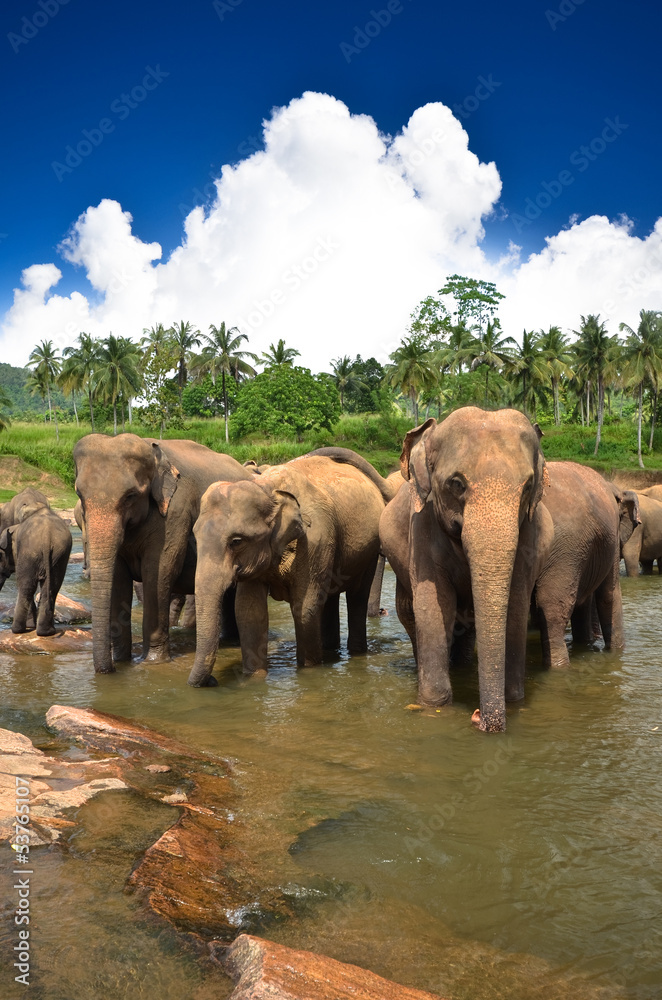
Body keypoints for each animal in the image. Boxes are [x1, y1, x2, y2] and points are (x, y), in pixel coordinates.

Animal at [0, 507, 72, 635]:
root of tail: (47, 535)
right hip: (60, 555)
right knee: (51, 588)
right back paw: (47, 631)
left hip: (29, 552)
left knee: (26, 587)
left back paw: (18, 630)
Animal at [73, 433, 253, 674]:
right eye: (79, 494)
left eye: (130, 496)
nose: (107, 670)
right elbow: (118, 579)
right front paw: (122, 660)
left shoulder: (175, 512)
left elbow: (158, 574)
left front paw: (153, 662)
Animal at [187, 454, 389, 686]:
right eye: (195, 537)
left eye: (236, 541)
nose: (212, 680)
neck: (267, 488)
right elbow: (249, 611)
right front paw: (254, 679)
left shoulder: (315, 539)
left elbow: (305, 607)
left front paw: (309, 672)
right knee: (328, 598)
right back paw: (330, 651)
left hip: (368, 553)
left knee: (357, 597)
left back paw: (355, 653)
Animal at [379, 407, 554, 733]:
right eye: (457, 484)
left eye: (527, 487)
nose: (477, 716)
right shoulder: (422, 528)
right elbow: (433, 606)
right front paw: (434, 705)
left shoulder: (529, 536)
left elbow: (516, 605)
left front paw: (513, 700)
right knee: (410, 616)